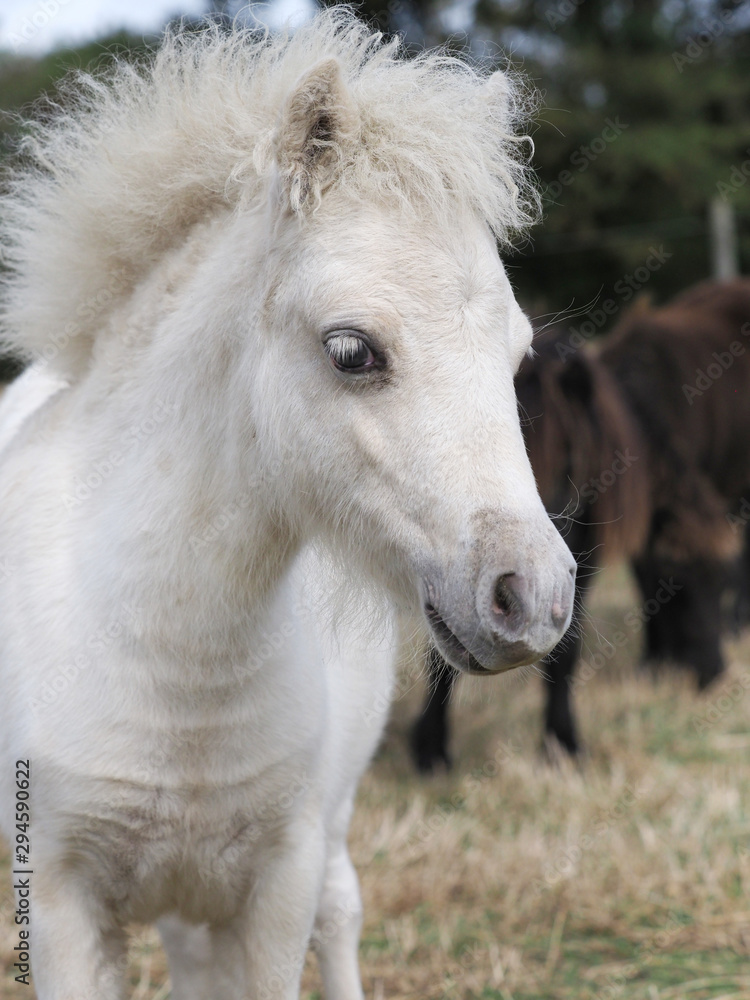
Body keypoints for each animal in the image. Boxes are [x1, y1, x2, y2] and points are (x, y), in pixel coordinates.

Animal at [0, 12, 575, 1000]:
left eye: (517, 353)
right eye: (351, 351)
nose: (531, 596)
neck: (172, 649)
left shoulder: (279, 880)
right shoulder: (62, 896)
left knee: (341, 912)